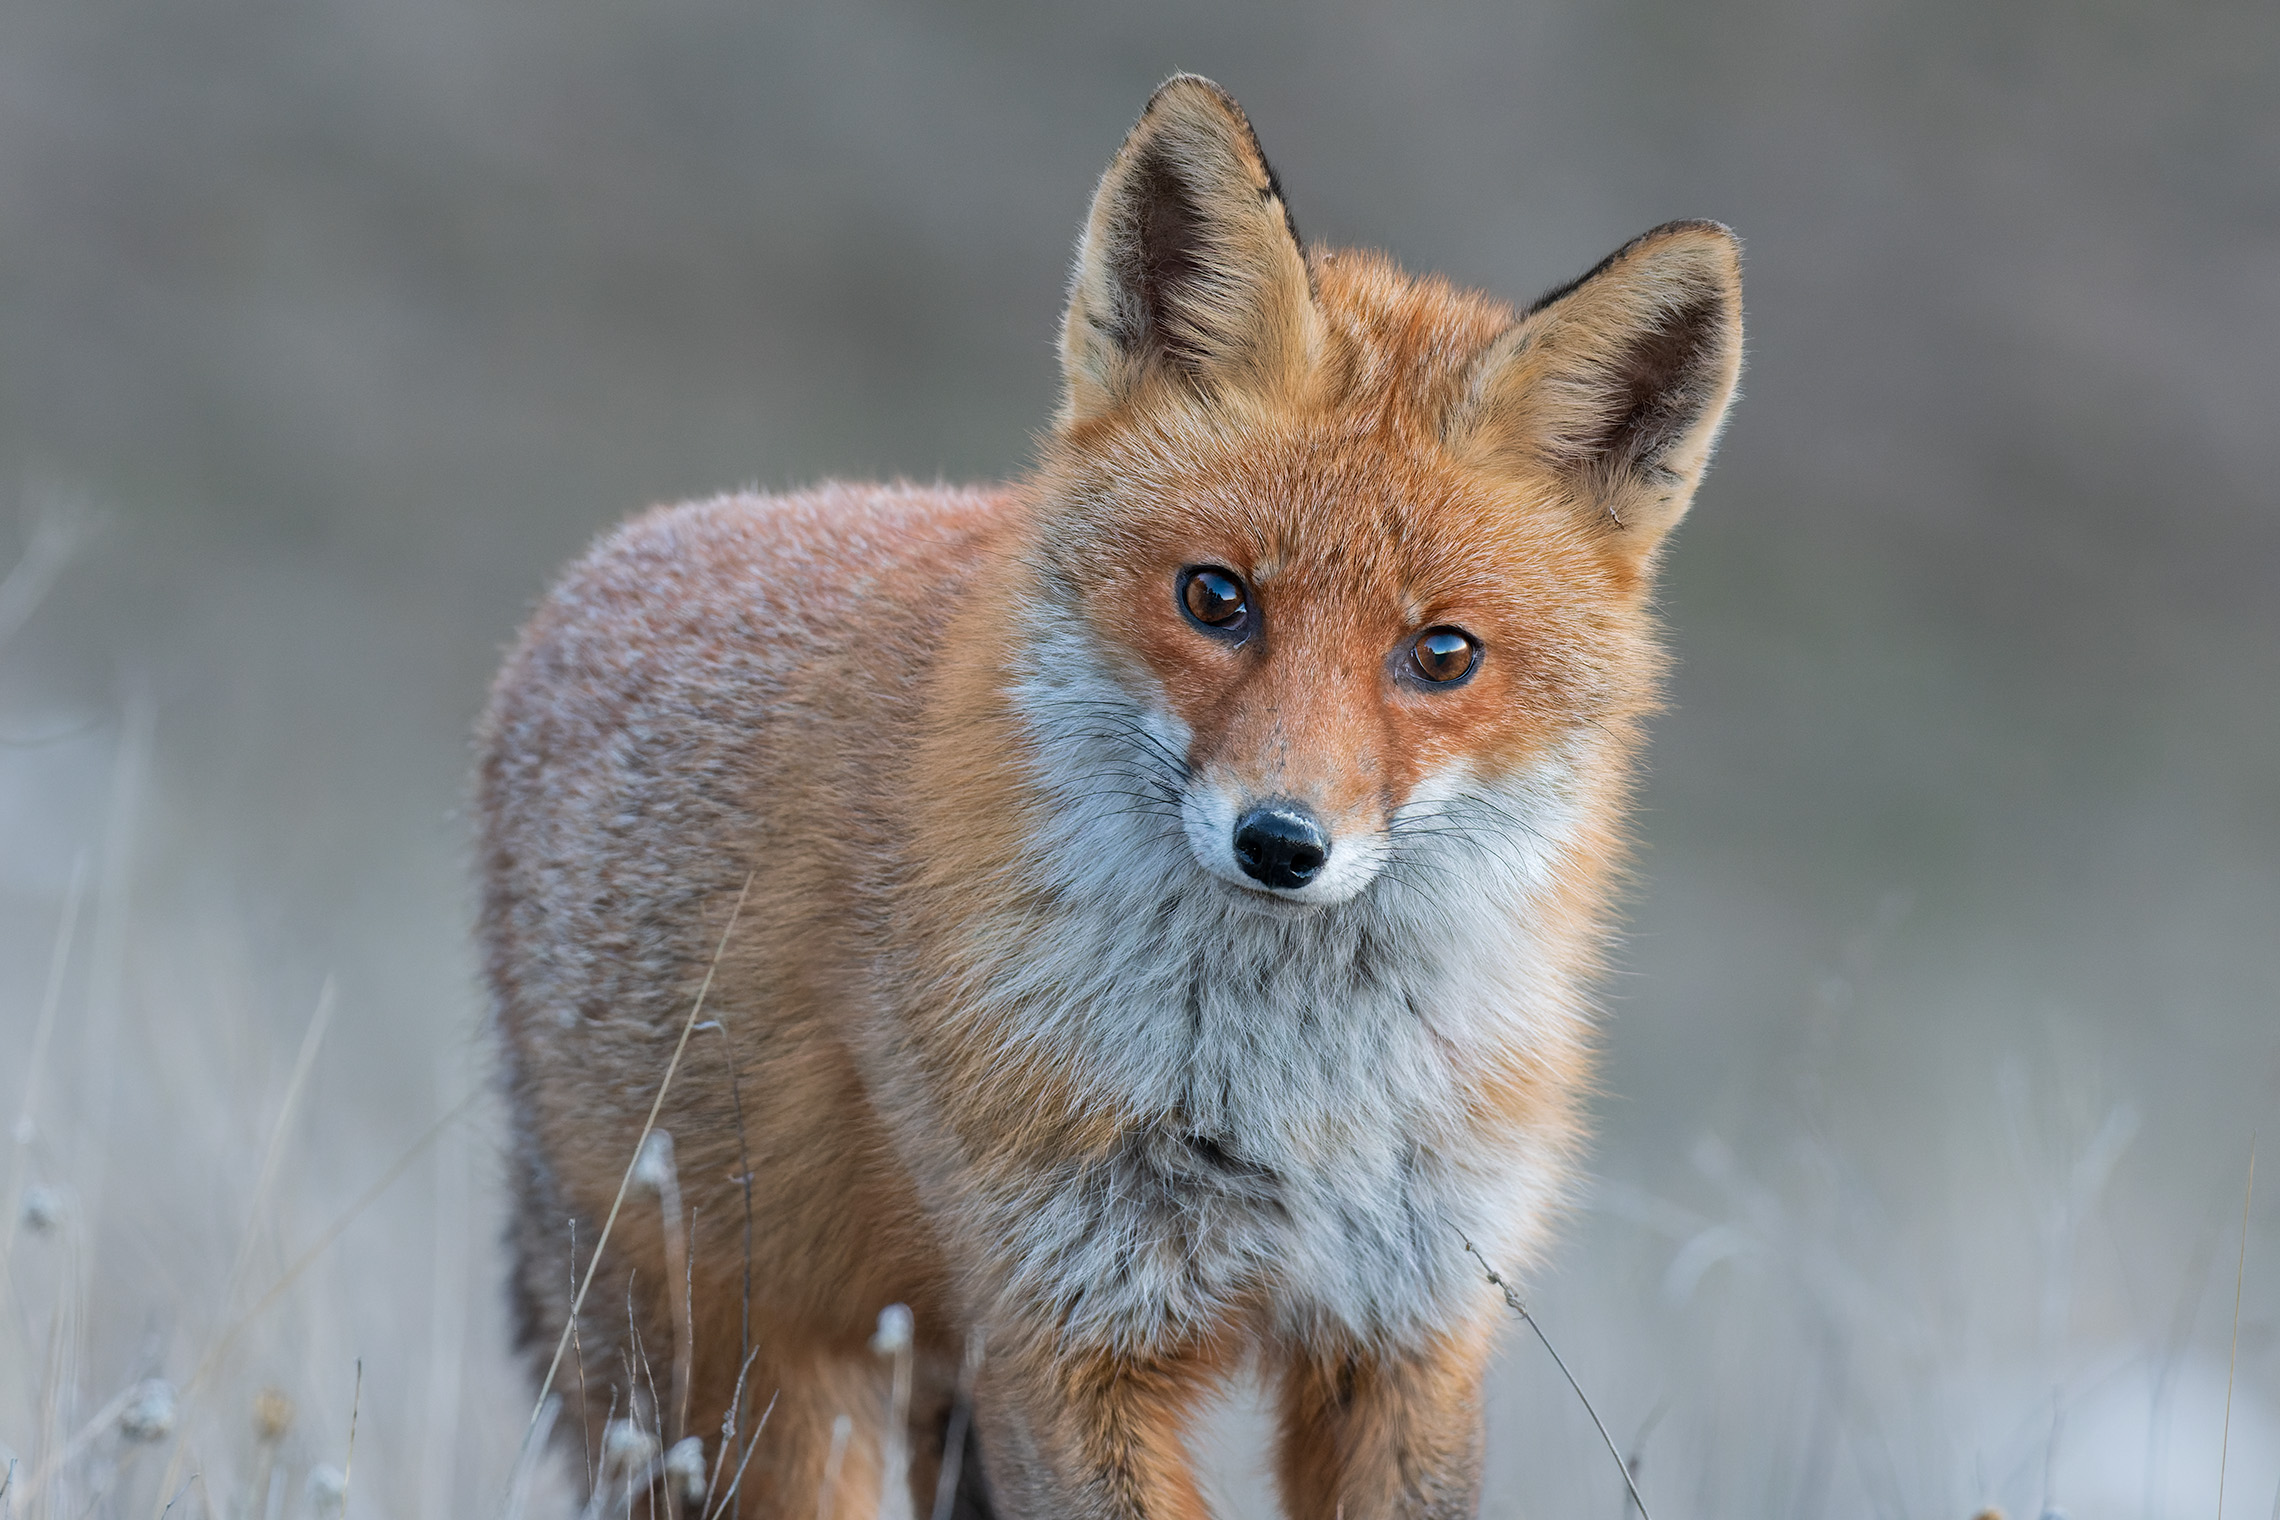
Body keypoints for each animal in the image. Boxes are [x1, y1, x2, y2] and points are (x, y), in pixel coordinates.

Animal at [478, 74, 1741, 1520]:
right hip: (743, 1401)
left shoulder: (1406, 1332)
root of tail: (602, 564)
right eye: (1216, 597)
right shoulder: (1065, 1330)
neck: (1292, 1091)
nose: (1281, 842)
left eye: (1442, 655)